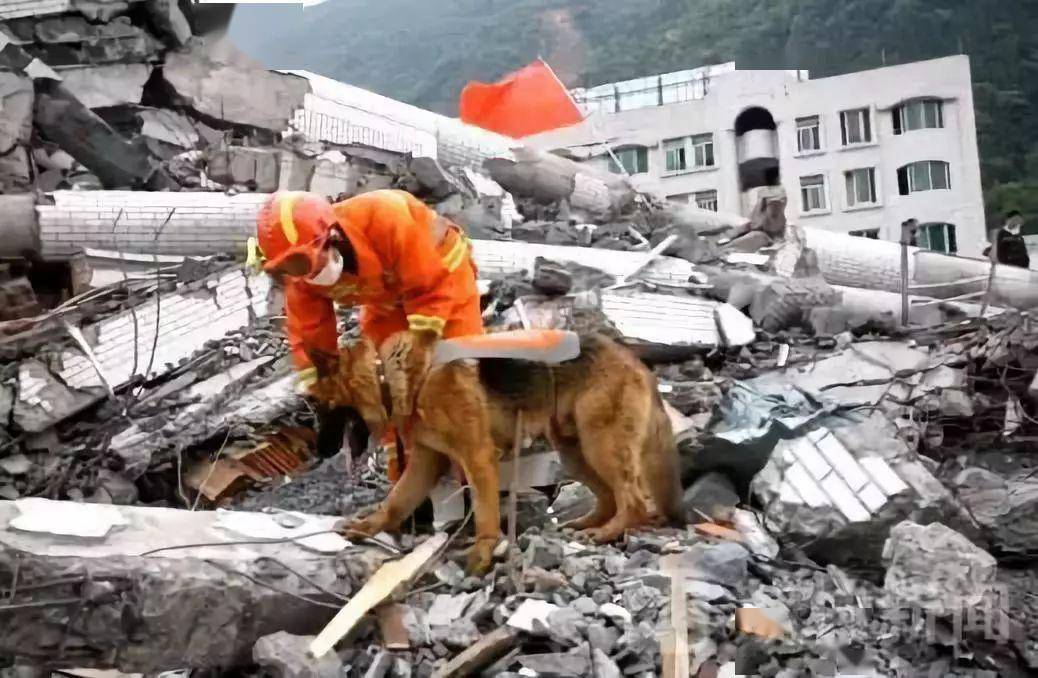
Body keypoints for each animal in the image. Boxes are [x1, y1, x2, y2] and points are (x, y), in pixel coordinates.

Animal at [311, 330, 685, 573]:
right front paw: (366, 526)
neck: (391, 377)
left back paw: (608, 532)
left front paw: (482, 553)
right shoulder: (425, 463)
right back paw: (589, 525)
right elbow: (394, 503)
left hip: (599, 445)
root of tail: (636, 362)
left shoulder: (477, 457)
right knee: (609, 496)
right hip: (574, 451)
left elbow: (485, 513)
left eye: (319, 406)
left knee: (633, 499)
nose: (317, 452)